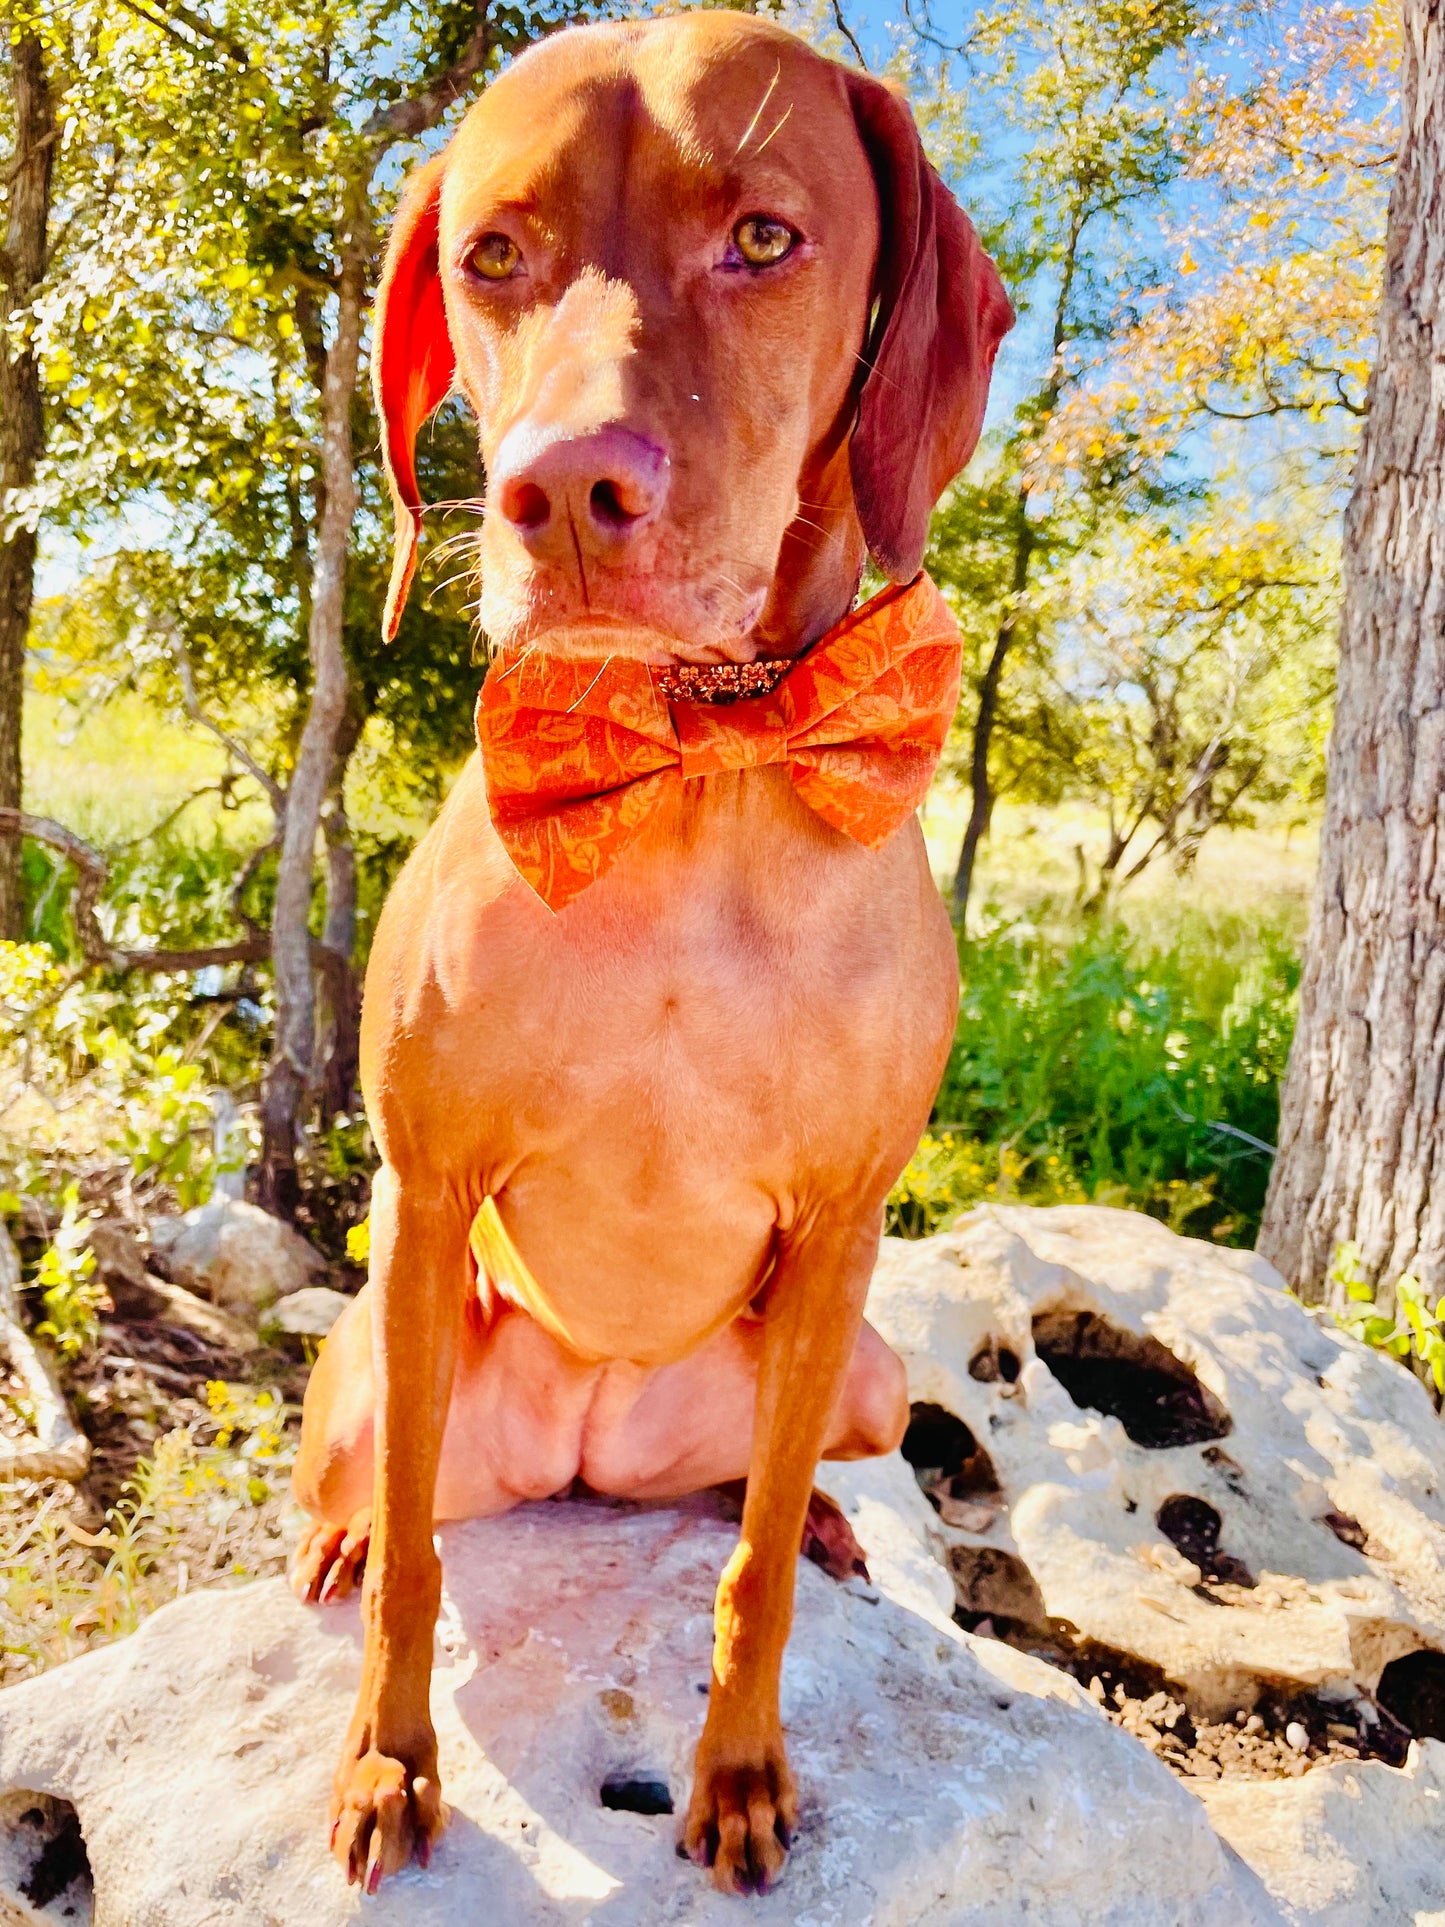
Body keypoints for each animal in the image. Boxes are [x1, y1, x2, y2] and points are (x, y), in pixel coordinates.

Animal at [283, 11, 1009, 1896]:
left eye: (761, 236)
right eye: (491, 256)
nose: (557, 489)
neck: (689, 771)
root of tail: (599, 1450)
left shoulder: (842, 1224)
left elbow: (743, 1575)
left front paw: (740, 1765)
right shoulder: (426, 1186)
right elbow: (417, 1565)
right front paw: (387, 1758)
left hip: (873, 1367)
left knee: (751, 1492)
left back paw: (821, 1515)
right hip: (369, 1367)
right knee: (382, 1498)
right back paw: (334, 1546)